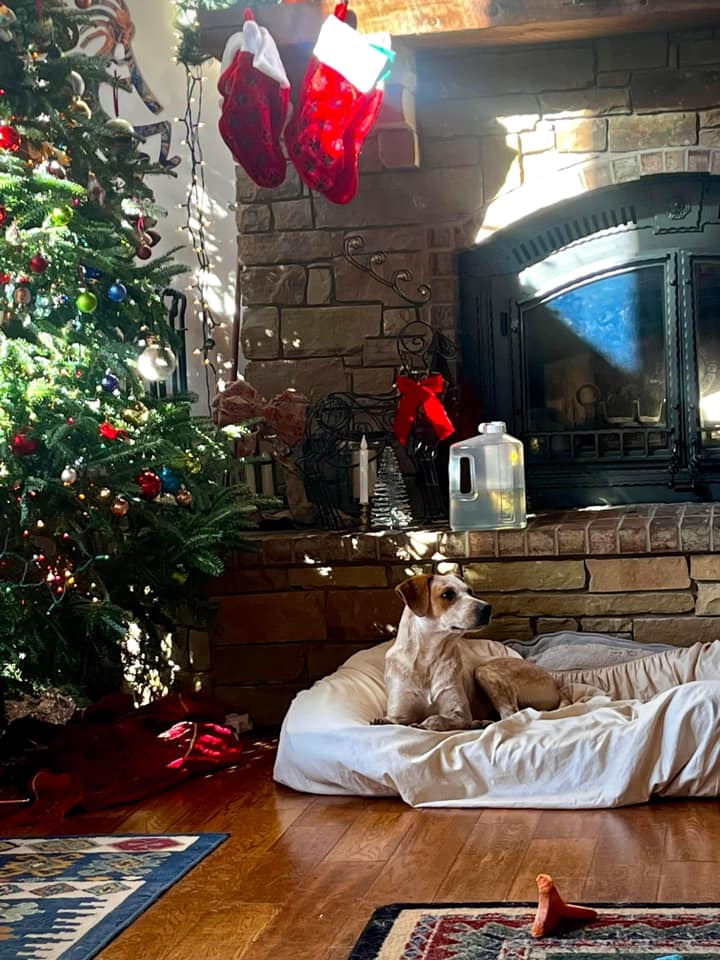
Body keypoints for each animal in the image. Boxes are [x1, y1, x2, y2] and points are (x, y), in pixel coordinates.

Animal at [374, 572, 564, 732]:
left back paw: (480, 723)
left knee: (510, 714)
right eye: (447, 595)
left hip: (484, 671)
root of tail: (554, 684)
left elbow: (438, 719)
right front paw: (384, 720)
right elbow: (393, 719)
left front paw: (425, 723)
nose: (488, 608)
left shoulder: (460, 713)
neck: (427, 659)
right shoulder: (400, 712)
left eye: (470, 591)